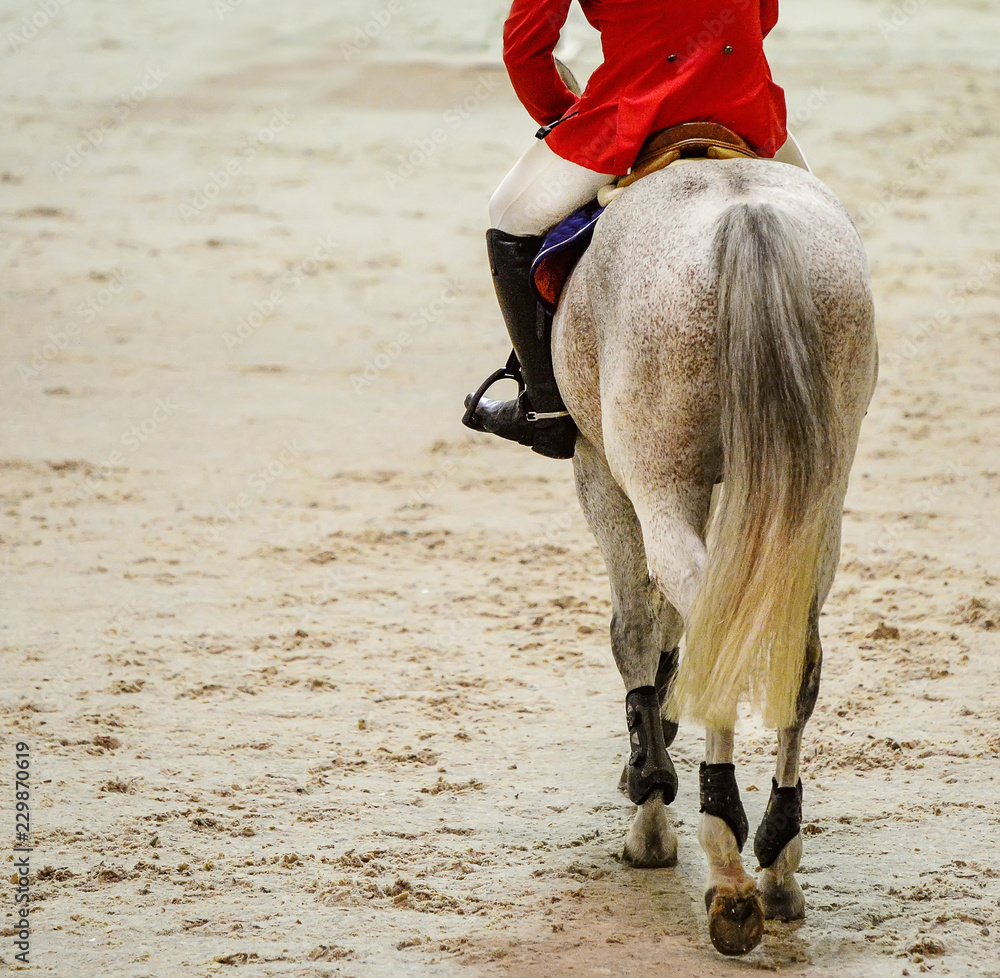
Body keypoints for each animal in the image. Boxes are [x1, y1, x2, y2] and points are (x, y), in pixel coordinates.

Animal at [551, 158, 877, 955]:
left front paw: (649, 802)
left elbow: (637, 629)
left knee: (710, 627)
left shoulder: (601, 468)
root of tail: (744, 215)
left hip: (657, 475)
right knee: (796, 653)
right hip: (815, 489)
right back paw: (779, 862)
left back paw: (726, 864)